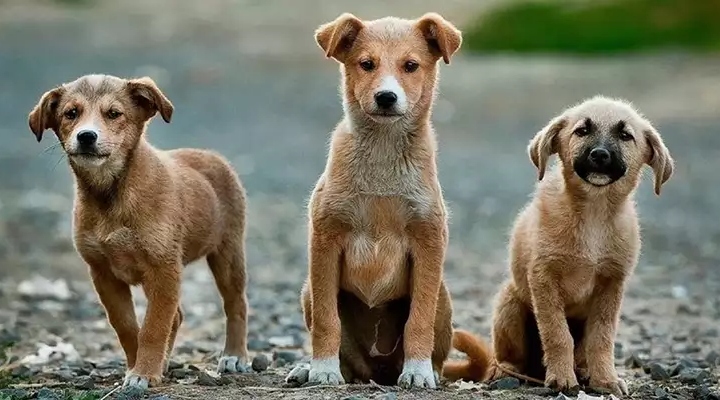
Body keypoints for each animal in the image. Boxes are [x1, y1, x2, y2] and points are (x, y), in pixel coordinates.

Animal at [27, 73, 250, 390]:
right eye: (71, 113)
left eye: (114, 114)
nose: (86, 136)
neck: (111, 195)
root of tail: (211, 156)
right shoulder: (103, 273)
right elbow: (128, 326)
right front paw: (139, 367)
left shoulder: (163, 268)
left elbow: (153, 327)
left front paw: (143, 372)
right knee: (177, 316)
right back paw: (165, 363)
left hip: (228, 252)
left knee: (235, 304)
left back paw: (234, 355)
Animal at [284, 11, 464, 388]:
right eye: (366, 64)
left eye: (411, 66)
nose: (386, 97)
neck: (383, 153)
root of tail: (377, 371)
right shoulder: (325, 240)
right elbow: (327, 320)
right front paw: (322, 369)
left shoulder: (428, 241)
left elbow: (418, 319)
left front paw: (418, 371)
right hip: (308, 290)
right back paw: (311, 368)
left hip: (443, 295)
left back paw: (428, 371)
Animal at [444, 96, 676, 396]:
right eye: (582, 131)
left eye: (626, 135)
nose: (599, 155)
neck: (594, 213)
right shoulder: (544, 278)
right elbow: (557, 334)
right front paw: (562, 379)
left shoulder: (611, 285)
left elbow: (602, 338)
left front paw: (605, 380)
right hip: (510, 303)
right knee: (508, 357)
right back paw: (507, 371)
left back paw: (584, 371)